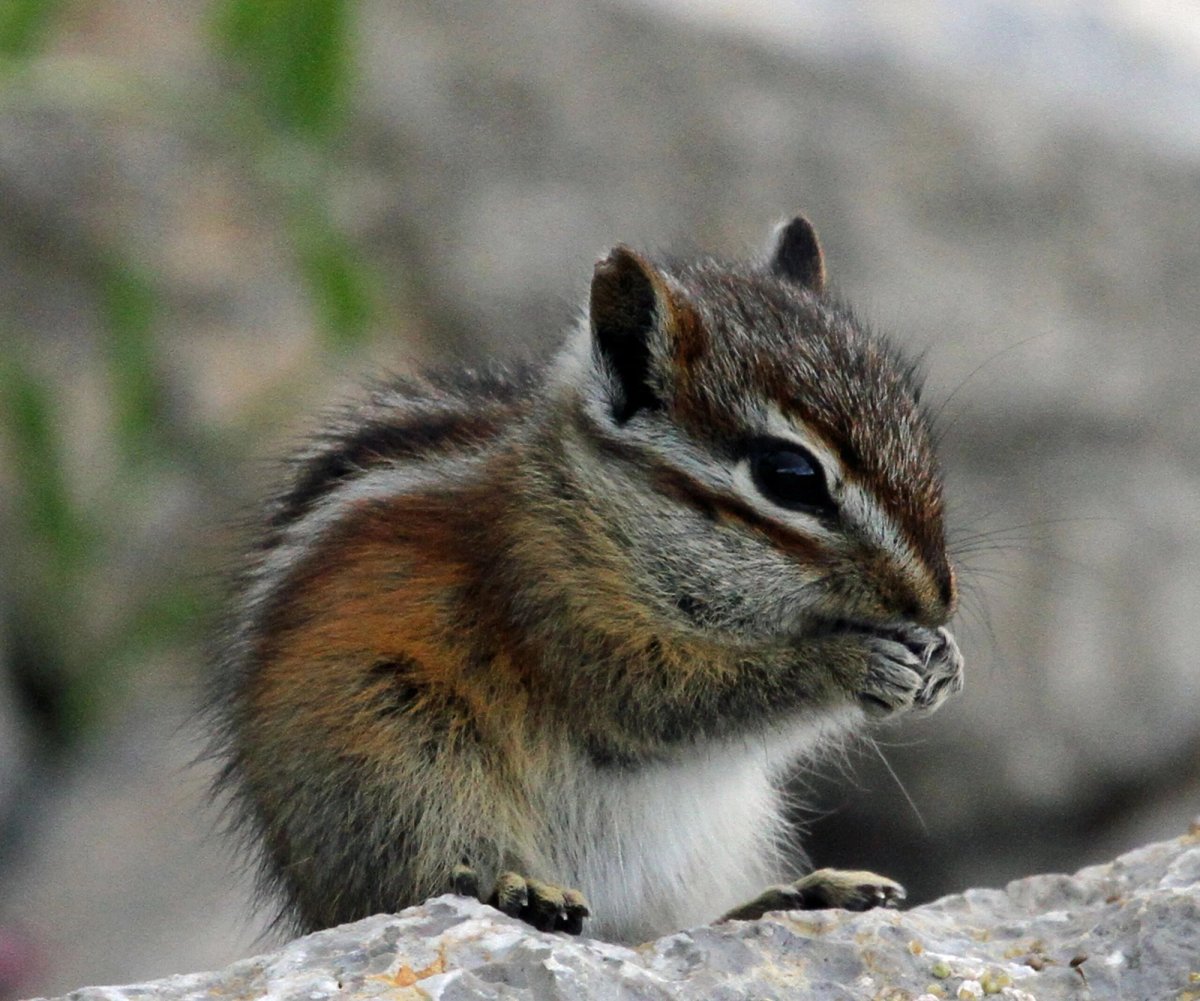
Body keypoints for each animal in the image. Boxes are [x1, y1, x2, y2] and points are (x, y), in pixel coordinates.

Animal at [209, 215, 964, 944]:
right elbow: (665, 697)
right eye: (790, 475)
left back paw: (797, 895)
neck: (598, 502)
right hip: (399, 753)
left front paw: (946, 660)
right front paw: (852, 663)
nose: (936, 599)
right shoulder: (551, 600)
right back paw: (520, 888)